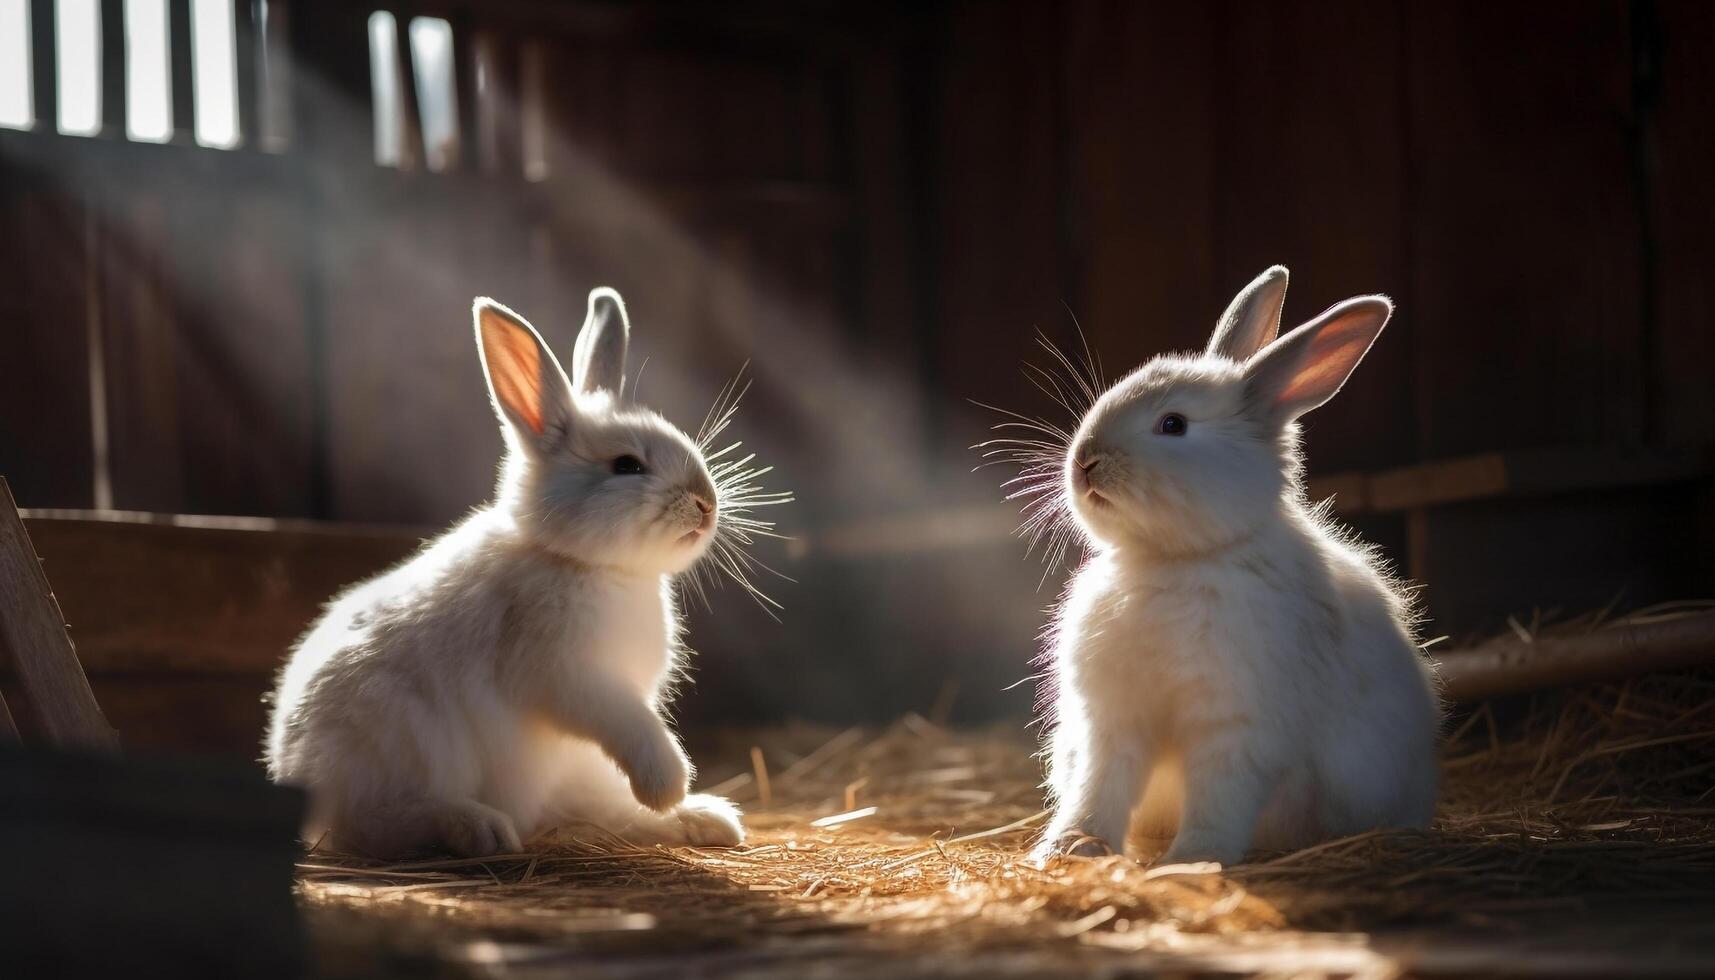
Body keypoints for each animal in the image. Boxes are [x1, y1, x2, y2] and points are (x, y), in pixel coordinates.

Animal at [267, 288, 785, 854]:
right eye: (627, 465)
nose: (705, 504)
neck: (587, 563)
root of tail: (295, 772)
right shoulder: (569, 675)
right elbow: (632, 726)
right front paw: (667, 784)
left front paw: (677, 803)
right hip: (405, 737)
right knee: (366, 825)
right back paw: (476, 828)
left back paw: (706, 820)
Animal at [1015, 267, 1447, 865]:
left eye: (1173, 424)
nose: (1085, 463)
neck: (1173, 561)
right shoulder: (1112, 721)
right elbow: (1098, 788)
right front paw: (1072, 847)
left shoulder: (1235, 725)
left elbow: (1219, 796)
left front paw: (1192, 859)